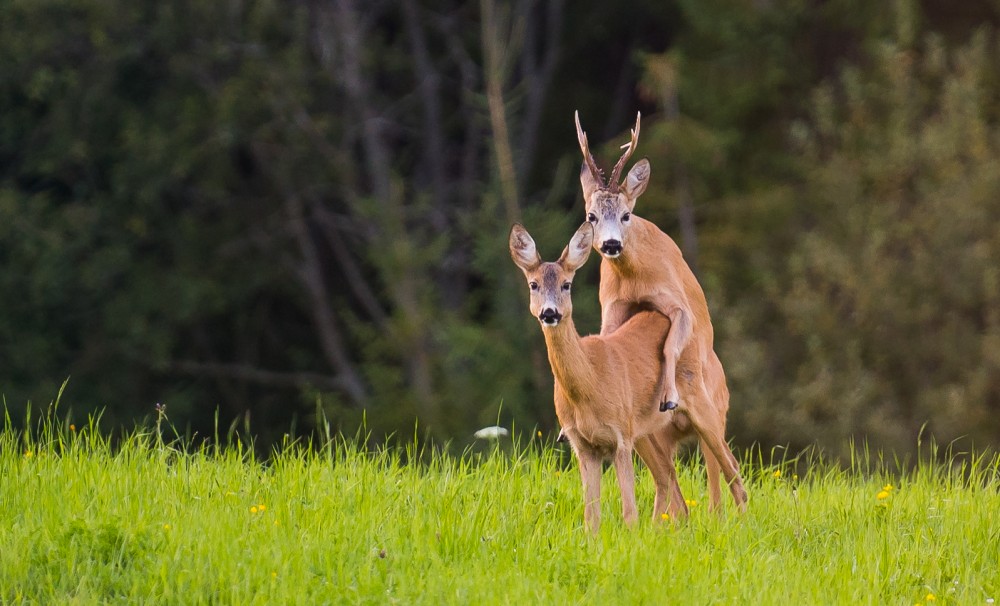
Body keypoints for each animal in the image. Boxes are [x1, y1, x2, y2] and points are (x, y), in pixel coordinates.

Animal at [512, 223, 692, 532]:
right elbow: (591, 517)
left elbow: (629, 512)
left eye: (566, 284)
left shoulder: (620, 436)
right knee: (667, 480)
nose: (549, 313)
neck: (590, 387)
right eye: (533, 285)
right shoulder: (583, 445)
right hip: (647, 432)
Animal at [576, 110, 748, 512]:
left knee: (728, 475)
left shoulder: (677, 302)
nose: (611, 244)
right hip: (652, 436)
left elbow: (670, 343)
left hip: (713, 415)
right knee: (672, 485)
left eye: (626, 215)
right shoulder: (612, 309)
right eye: (591, 215)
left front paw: (668, 395)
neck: (633, 278)